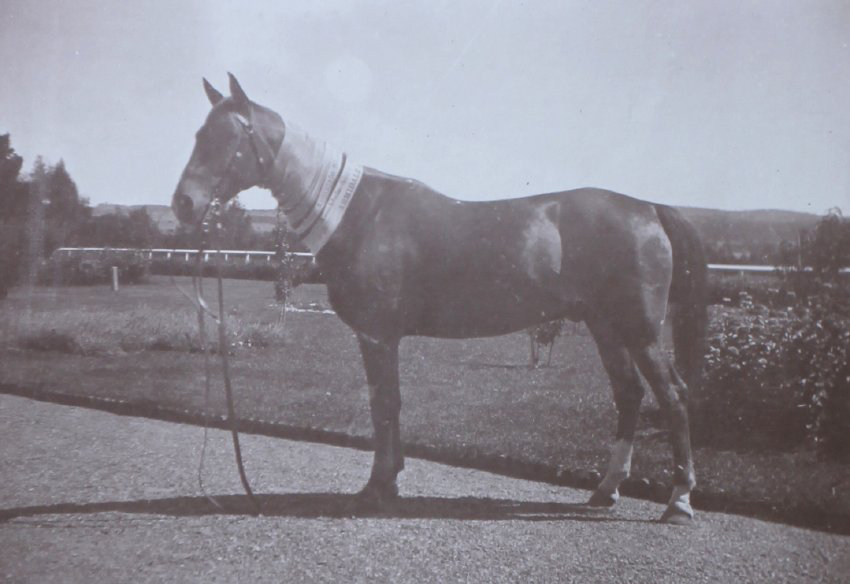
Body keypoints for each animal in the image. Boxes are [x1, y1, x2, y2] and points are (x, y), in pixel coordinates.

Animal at [172, 74, 708, 525]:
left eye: (227, 138)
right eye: (197, 135)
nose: (184, 204)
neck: (358, 215)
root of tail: (648, 209)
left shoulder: (377, 336)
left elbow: (384, 405)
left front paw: (376, 489)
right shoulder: (380, 338)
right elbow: (388, 404)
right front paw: (389, 482)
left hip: (638, 329)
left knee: (674, 395)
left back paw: (678, 502)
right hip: (604, 326)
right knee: (630, 395)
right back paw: (605, 490)